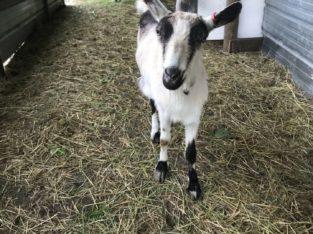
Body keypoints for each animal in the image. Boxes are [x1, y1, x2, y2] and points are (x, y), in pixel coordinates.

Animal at [135, 0, 241, 199]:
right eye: (159, 31)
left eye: (201, 36)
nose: (171, 76)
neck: (178, 93)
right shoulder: (165, 109)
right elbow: (165, 140)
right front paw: (161, 167)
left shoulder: (194, 116)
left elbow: (191, 152)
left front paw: (193, 185)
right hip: (147, 82)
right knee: (152, 106)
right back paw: (154, 132)